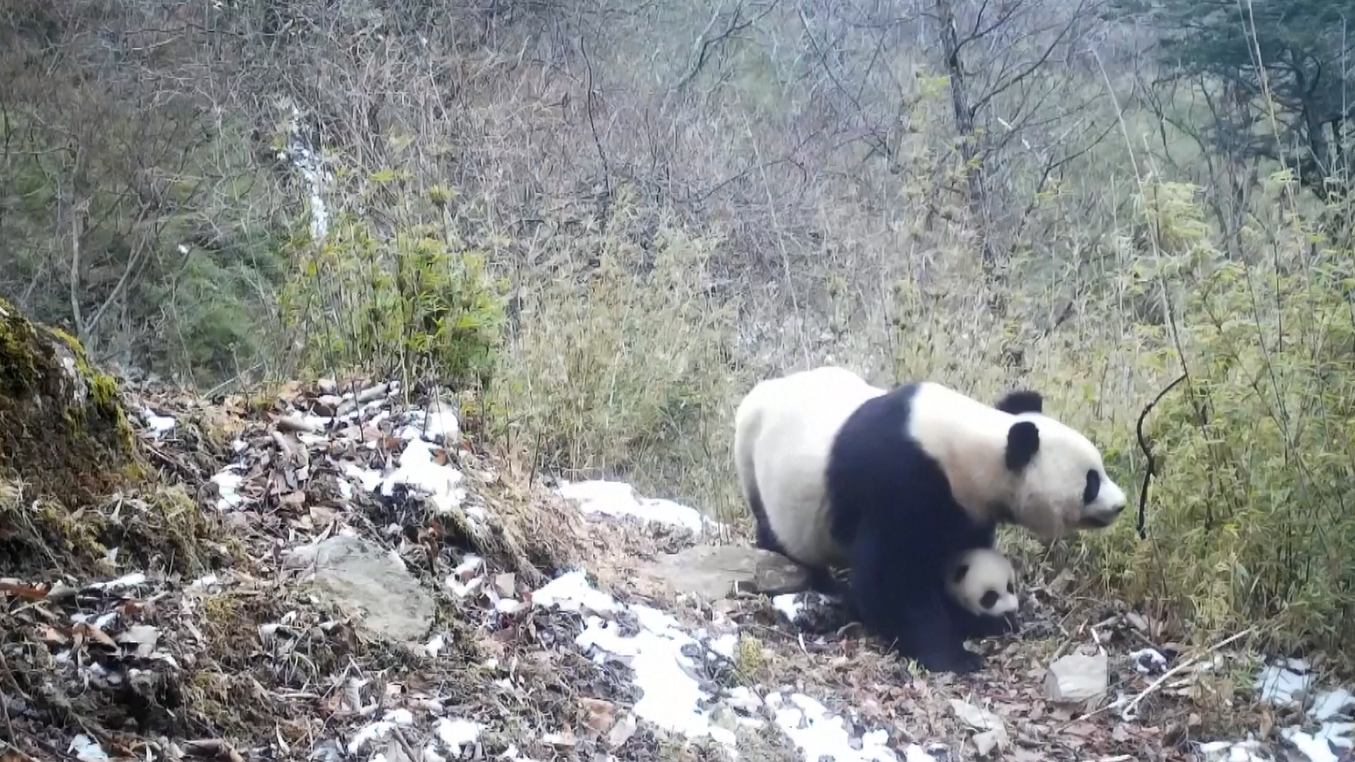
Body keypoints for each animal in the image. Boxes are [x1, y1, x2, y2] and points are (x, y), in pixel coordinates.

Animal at [732, 366, 1126, 674]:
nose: (1121, 505)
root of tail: (760, 391)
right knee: (780, 535)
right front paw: (955, 655)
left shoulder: (962, 506)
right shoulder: (899, 480)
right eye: (1092, 482)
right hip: (760, 471)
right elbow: (891, 580)